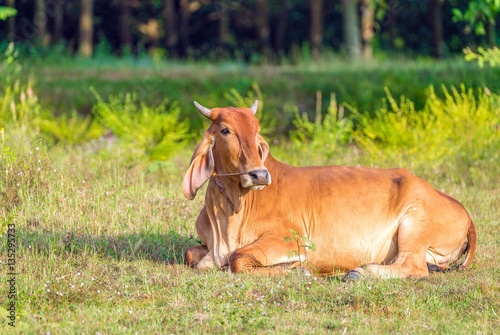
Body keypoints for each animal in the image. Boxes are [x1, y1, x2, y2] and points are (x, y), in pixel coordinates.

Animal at [183, 101, 476, 280]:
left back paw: (359, 273)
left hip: (413, 222)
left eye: (257, 133)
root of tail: (464, 211)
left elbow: (238, 258)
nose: (260, 175)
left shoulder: (292, 240)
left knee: (412, 266)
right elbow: (191, 255)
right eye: (225, 130)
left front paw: (296, 270)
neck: (229, 211)